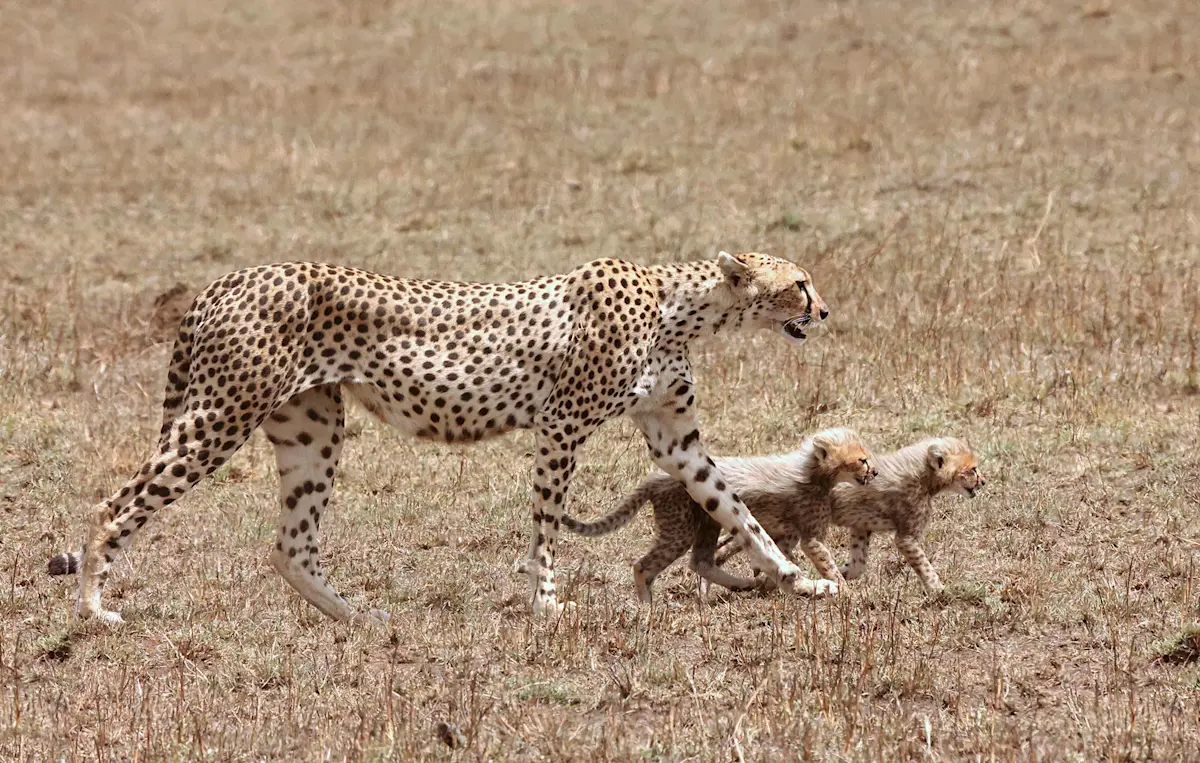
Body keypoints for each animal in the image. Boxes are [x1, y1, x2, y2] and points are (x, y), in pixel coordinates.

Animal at [46, 251, 831, 625]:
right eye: (799, 282)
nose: (823, 310)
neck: (683, 307)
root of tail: (229, 277)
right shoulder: (560, 427)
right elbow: (545, 526)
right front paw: (547, 603)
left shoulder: (676, 442)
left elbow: (739, 510)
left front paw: (801, 579)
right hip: (220, 415)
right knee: (114, 506)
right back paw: (94, 609)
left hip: (312, 431)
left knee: (290, 544)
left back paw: (358, 617)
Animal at [561, 428, 876, 603]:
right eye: (862, 459)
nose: (874, 472)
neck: (813, 472)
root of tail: (655, 476)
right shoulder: (810, 537)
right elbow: (827, 564)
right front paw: (845, 593)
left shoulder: (785, 534)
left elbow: (778, 561)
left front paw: (770, 586)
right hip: (680, 528)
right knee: (644, 566)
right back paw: (647, 609)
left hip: (708, 521)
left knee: (701, 561)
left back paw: (740, 585)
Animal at [717, 436, 985, 593]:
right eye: (972, 469)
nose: (983, 482)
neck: (923, 475)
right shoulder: (906, 538)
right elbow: (924, 564)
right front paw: (939, 590)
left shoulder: (860, 527)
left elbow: (858, 565)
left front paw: (842, 574)